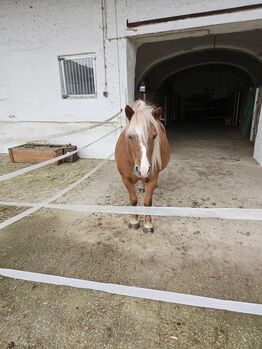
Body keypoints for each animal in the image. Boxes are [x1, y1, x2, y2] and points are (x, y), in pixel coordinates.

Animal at [114, 99, 170, 232]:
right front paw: (134, 221)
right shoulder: (126, 179)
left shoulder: (153, 178)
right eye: (130, 136)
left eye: (154, 136)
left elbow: (147, 202)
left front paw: (148, 224)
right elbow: (133, 200)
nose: (143, 169)